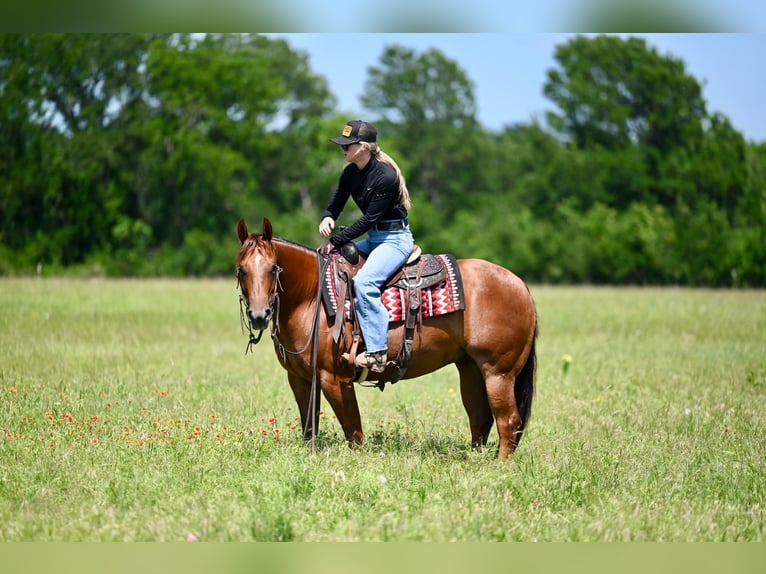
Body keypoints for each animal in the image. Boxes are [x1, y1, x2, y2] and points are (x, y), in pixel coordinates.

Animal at [235, 217, 538, 460]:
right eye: (241, 269)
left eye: (273, 268)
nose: (259, 315)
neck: (313, 297)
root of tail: (521, 285)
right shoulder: (299, 378)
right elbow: (310, 428)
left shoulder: (334, 377)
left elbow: (353, 432)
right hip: (471, 368)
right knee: (480, 418)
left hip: (498, 373)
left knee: (508, 421)